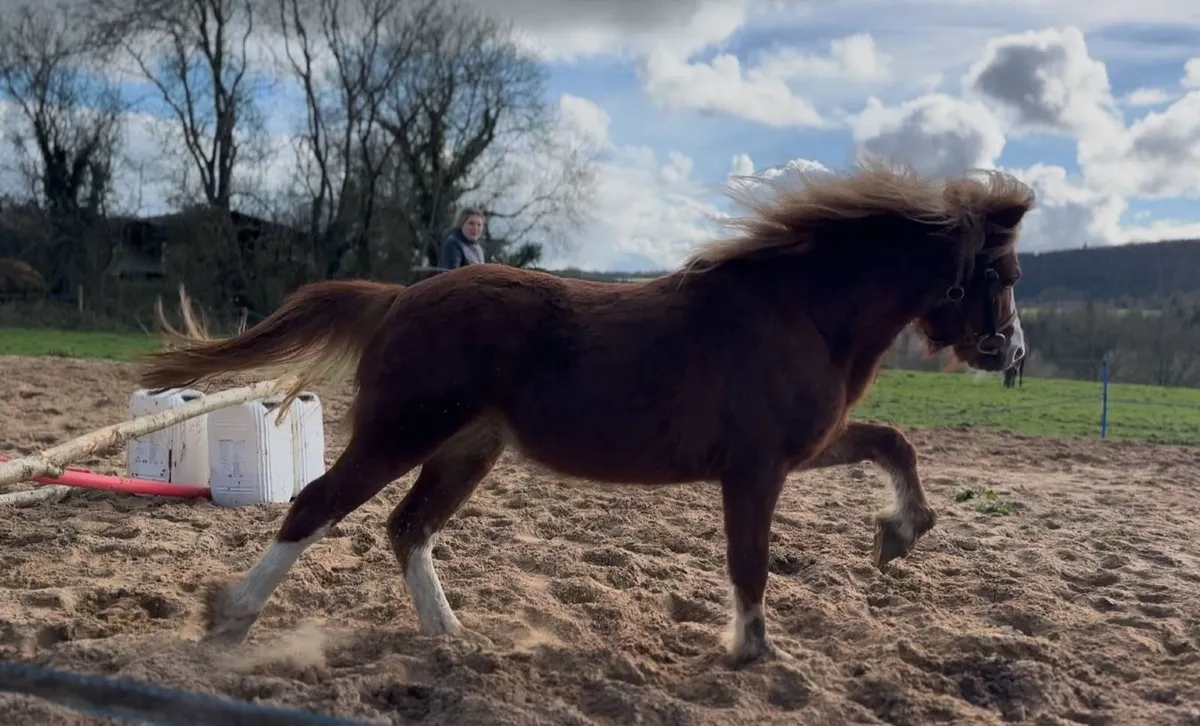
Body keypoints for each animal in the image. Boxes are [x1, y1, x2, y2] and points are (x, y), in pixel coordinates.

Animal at [138, 163, 1033, 666]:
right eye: (1007, 273)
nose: (1012, 353)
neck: (800, 313)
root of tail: (398, 297)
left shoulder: (801, 448)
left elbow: (893, 442)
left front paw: (900, 533)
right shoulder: (755, 469)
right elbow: (750, 563)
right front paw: (749, 651)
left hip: (466, 448)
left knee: (407, 527)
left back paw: (452, 635)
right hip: (405, 432)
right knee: (317, 504)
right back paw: (231, 621)